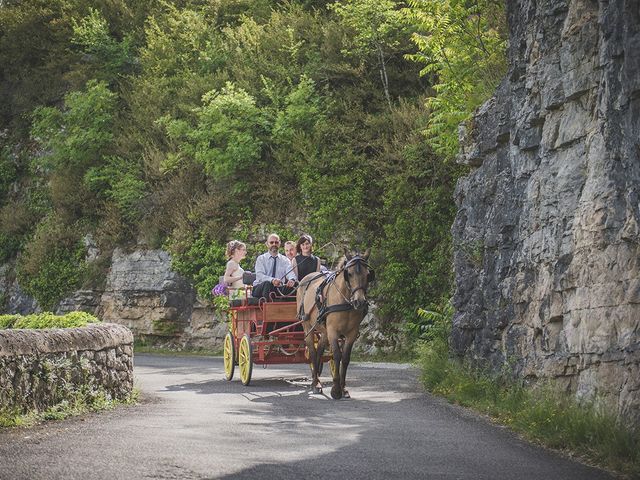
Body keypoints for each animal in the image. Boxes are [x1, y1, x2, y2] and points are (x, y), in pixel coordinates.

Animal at [296, 249, 376, 400]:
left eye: (368, 275)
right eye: (348, 274)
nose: (359, 302)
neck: (345, 301)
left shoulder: (351, 333)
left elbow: (345, 359)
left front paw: (343, 388)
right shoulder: (333, 332)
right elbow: (337, 355)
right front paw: (336, 390)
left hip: (324, 330)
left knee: (320, 351)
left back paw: (317, 379)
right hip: (307, 326)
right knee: (313, 352)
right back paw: (315, 383)